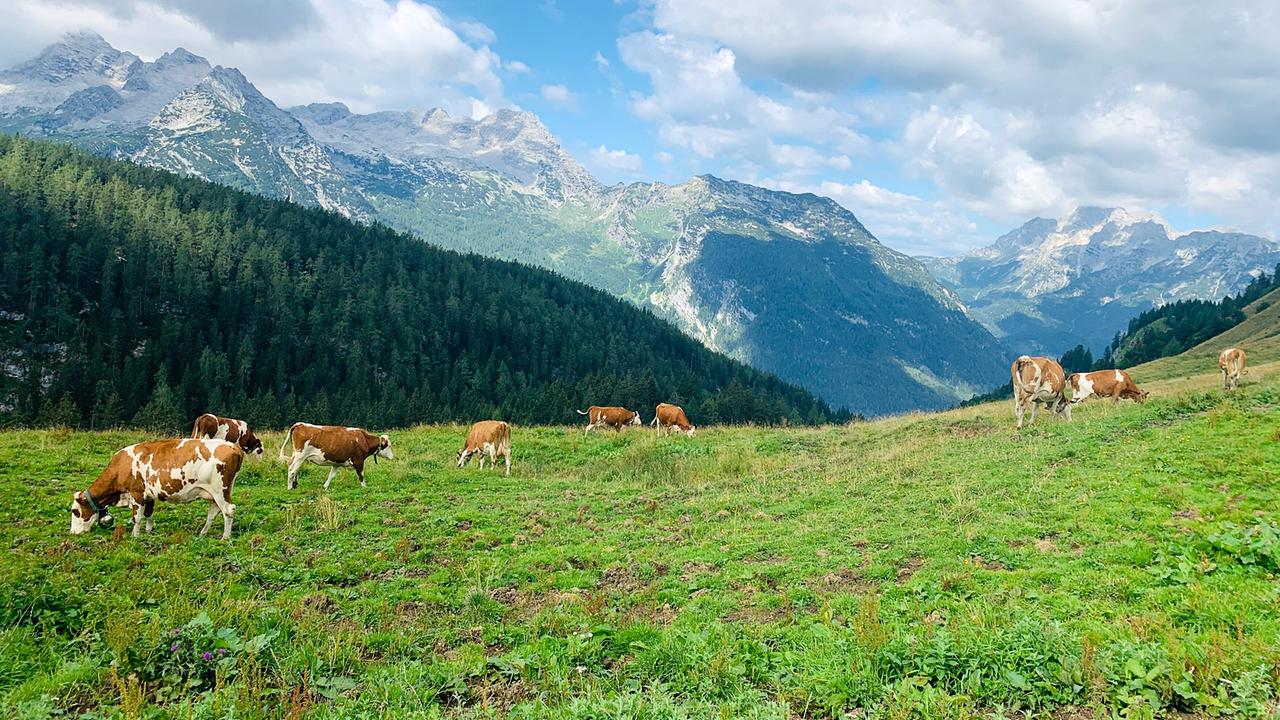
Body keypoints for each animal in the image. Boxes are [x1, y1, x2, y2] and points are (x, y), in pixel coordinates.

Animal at [71, 438, 245, 538]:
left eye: (75, 511)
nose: (72, 532)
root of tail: (233, 446)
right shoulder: (149, 495)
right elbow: (149, 513)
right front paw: (149, 531)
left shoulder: (137, 493)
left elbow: (137, 517)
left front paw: (135, 536)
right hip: (217, 492)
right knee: (213, 512)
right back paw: (203, 533)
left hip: (220, 490)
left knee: (228, 510)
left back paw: (225, 537)